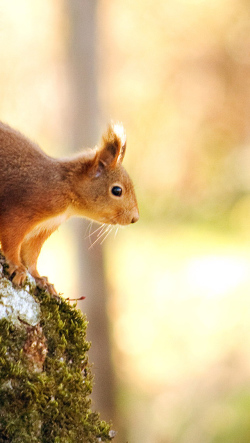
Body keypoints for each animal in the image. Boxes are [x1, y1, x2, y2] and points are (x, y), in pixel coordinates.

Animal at [0, 121, 139, 294]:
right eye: (117, 190)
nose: (135, 218)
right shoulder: (18, 212)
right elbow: (11, 243)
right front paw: (17, 267)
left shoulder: (42, 230)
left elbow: (30, 256)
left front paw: (40, 279)